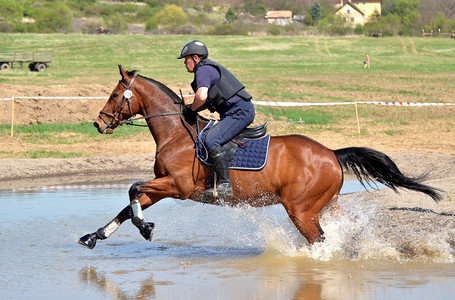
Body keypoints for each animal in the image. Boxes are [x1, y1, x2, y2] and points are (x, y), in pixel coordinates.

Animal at [78, 66, 442, 251]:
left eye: (115, 95)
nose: (98, 123)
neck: (175, 133)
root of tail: (331, 154)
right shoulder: (161, 186)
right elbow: (129, 205)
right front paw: (94, 236)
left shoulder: (176, 187)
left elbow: (132, 191)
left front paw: (146, 229)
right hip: (327, 204)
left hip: (301, 210)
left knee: (320, 241)